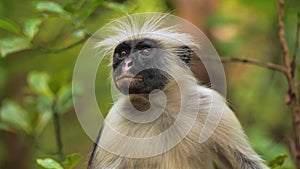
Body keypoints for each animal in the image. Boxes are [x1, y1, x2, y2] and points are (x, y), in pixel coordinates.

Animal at [87, 13, 270, 169]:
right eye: (123, 53)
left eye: (145, 51)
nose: (126, 63)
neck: (161, 107)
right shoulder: (115, 121)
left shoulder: (212, 107)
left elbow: (248, 162)